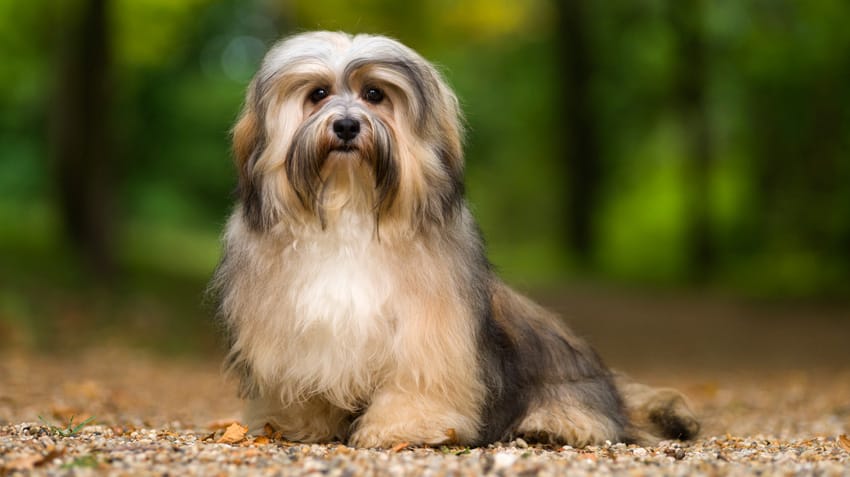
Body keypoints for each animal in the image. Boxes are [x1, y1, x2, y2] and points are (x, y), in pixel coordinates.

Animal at [210, 31, 696, 448]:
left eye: (374, 94)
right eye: (317, 95)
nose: (347, 126)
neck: (350, 208)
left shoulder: (429, 331)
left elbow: (417, 382)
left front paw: (403, 428)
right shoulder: (297, 332)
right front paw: (300, 425)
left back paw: (551, 425)